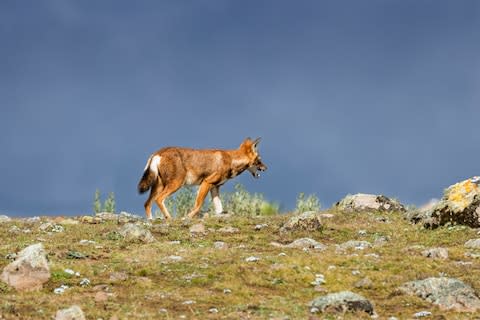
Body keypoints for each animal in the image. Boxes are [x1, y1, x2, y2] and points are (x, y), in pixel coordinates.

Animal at [137, 138, 268, 220]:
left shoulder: (215, 188)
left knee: (147, 203)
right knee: (158, 200)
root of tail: (157, 153)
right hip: (175, 185)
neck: (231, 160)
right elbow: (198, 206)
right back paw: (169, 218)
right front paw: (187, 217)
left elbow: (219, 209)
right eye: (260, 160)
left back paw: (151, 220)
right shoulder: (206, 183)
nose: (266, 168)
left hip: (159, 186)